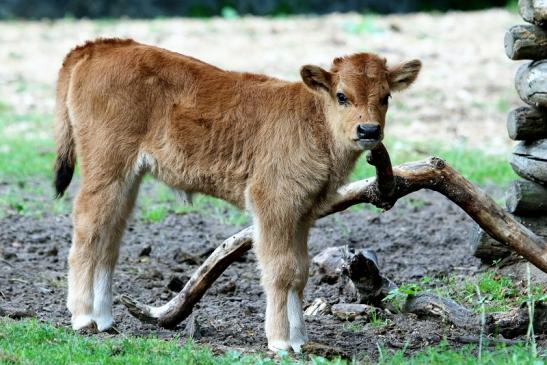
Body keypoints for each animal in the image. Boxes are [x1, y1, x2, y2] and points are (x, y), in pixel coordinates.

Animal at [55, 38, 422, 352]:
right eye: (342, 95)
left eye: (386, 96)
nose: (369, 130)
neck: (313, 119)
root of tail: (98, 46)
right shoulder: (273, 203)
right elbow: (280, 269)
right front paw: (280, 341)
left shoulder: (303, 212)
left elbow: (299, 271)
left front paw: (300, 339)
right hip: (106, 169)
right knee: (86, 230)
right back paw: (83, 318)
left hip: (127, 180)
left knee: (109, 240)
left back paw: (104, 319)